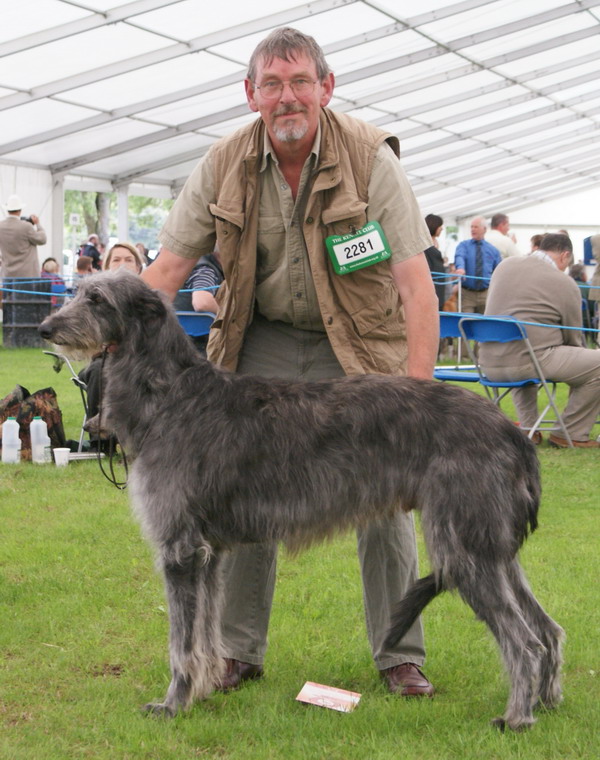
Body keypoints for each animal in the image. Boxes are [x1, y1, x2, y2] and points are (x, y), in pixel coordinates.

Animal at [39, 272, 564, 732]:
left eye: (97, 299)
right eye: (76, 291)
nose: (45, 328)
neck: (169, 394)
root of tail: (512, 433)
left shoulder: (180, 549)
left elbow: (181, 643)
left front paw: (173, 704)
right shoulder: (208, 552)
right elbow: (204, 633)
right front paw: (204, 692)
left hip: (464, 548)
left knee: (524, 642)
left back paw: (516, 718)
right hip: (493, 548)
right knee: (548, 629)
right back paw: (546, 702)